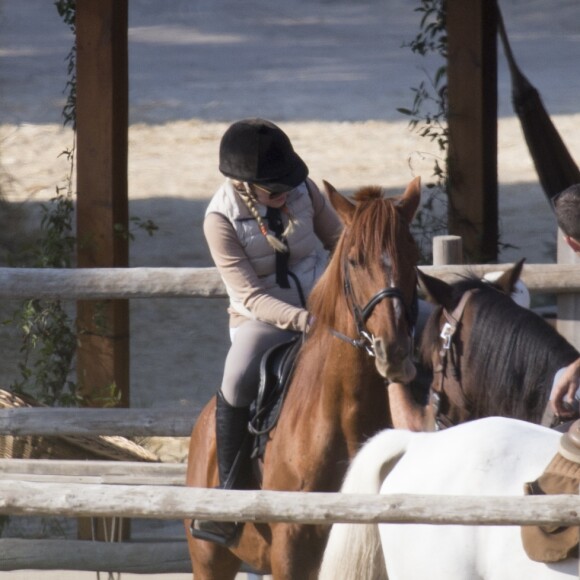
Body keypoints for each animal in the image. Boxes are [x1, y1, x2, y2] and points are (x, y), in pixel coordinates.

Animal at [185, 178, 422, 580]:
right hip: (210, 561)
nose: (393, 351)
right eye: (354, 260)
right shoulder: (291, 551)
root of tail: (203, 424)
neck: (343, 412)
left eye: (413, 255)